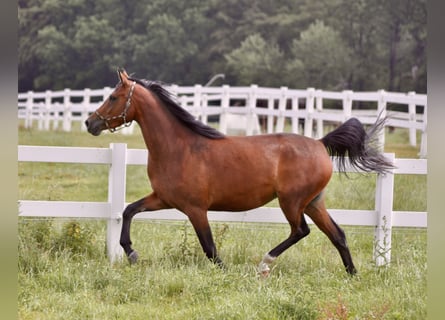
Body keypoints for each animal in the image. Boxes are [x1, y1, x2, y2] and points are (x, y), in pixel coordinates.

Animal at [85, 69, 394, 276]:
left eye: (113, 97)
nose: (90, 123)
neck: (180, 147)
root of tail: (319, 143)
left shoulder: (195, 208)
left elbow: (209, 247)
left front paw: (225, 271)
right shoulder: (163, 198)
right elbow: (128, 210)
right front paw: (131, 253)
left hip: (292, 201)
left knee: (301, 230)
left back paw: (265, 263)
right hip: (313, 202)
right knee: (337, 235)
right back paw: (352, 274)